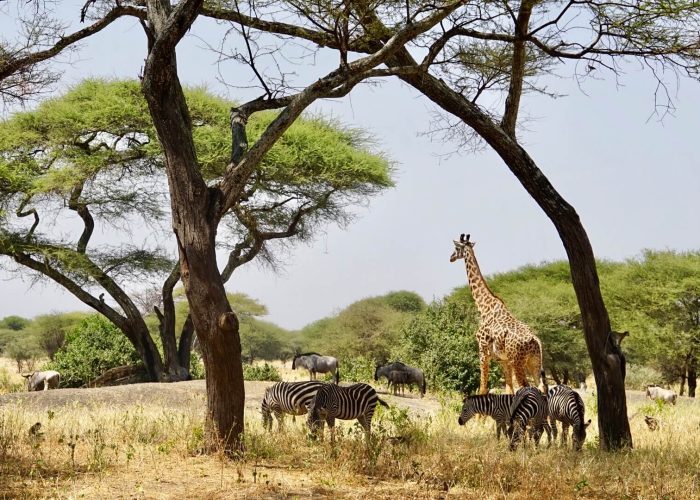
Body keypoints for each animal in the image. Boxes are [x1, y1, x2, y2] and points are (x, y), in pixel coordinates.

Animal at [450, 233, 546, 395]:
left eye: (456, 247)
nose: (450, 257)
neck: (484, 307)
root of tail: (535, 340)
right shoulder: (503, 359)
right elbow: (509, 389)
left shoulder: (483, 351)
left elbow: (482, 387)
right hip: (534, 361)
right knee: (542, 387)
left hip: (518, 361)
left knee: (527, 387)